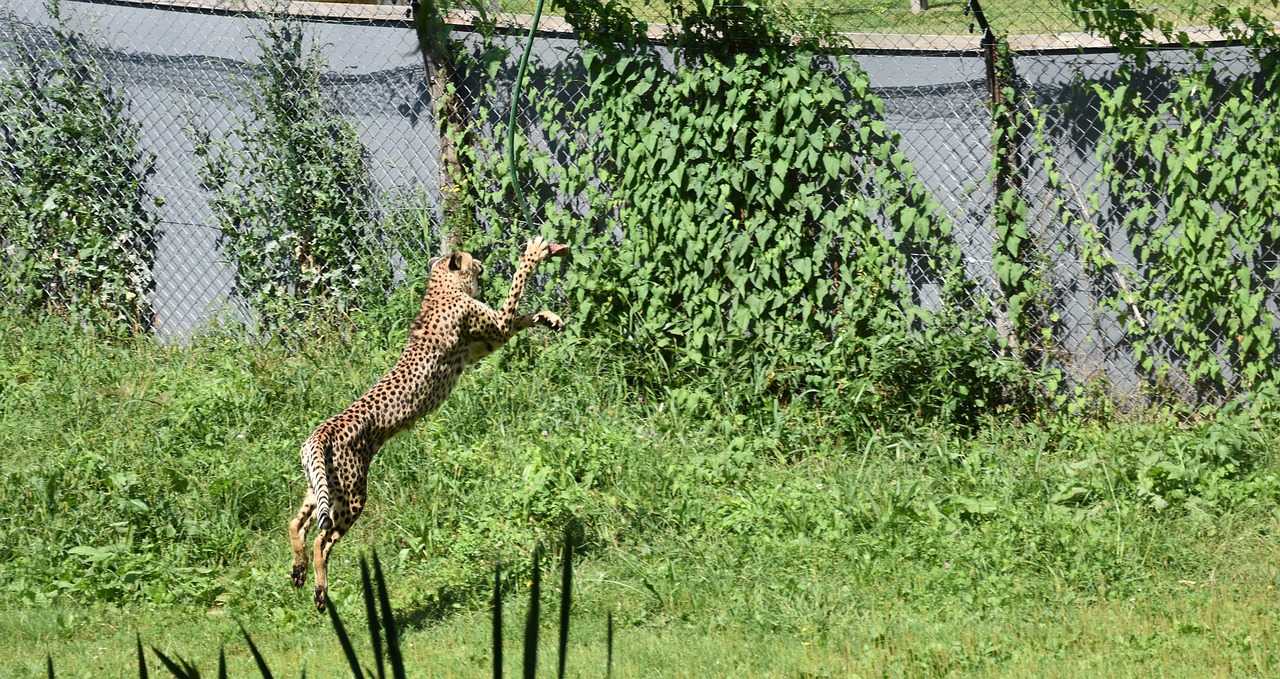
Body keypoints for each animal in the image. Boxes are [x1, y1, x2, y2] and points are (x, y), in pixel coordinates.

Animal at [293, 237, 573, 607]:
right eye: (470, 258)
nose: (480, 262)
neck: (442, 286)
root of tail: (321, 430)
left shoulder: (487, 342)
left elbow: (523, 314)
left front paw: (549, 317)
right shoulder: (495, 327)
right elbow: (517, 285)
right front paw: (535, 253)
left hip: (323, 487)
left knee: (296, 524)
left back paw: (298, 570)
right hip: (351, 495)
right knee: (321, 539)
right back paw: (320, 589)